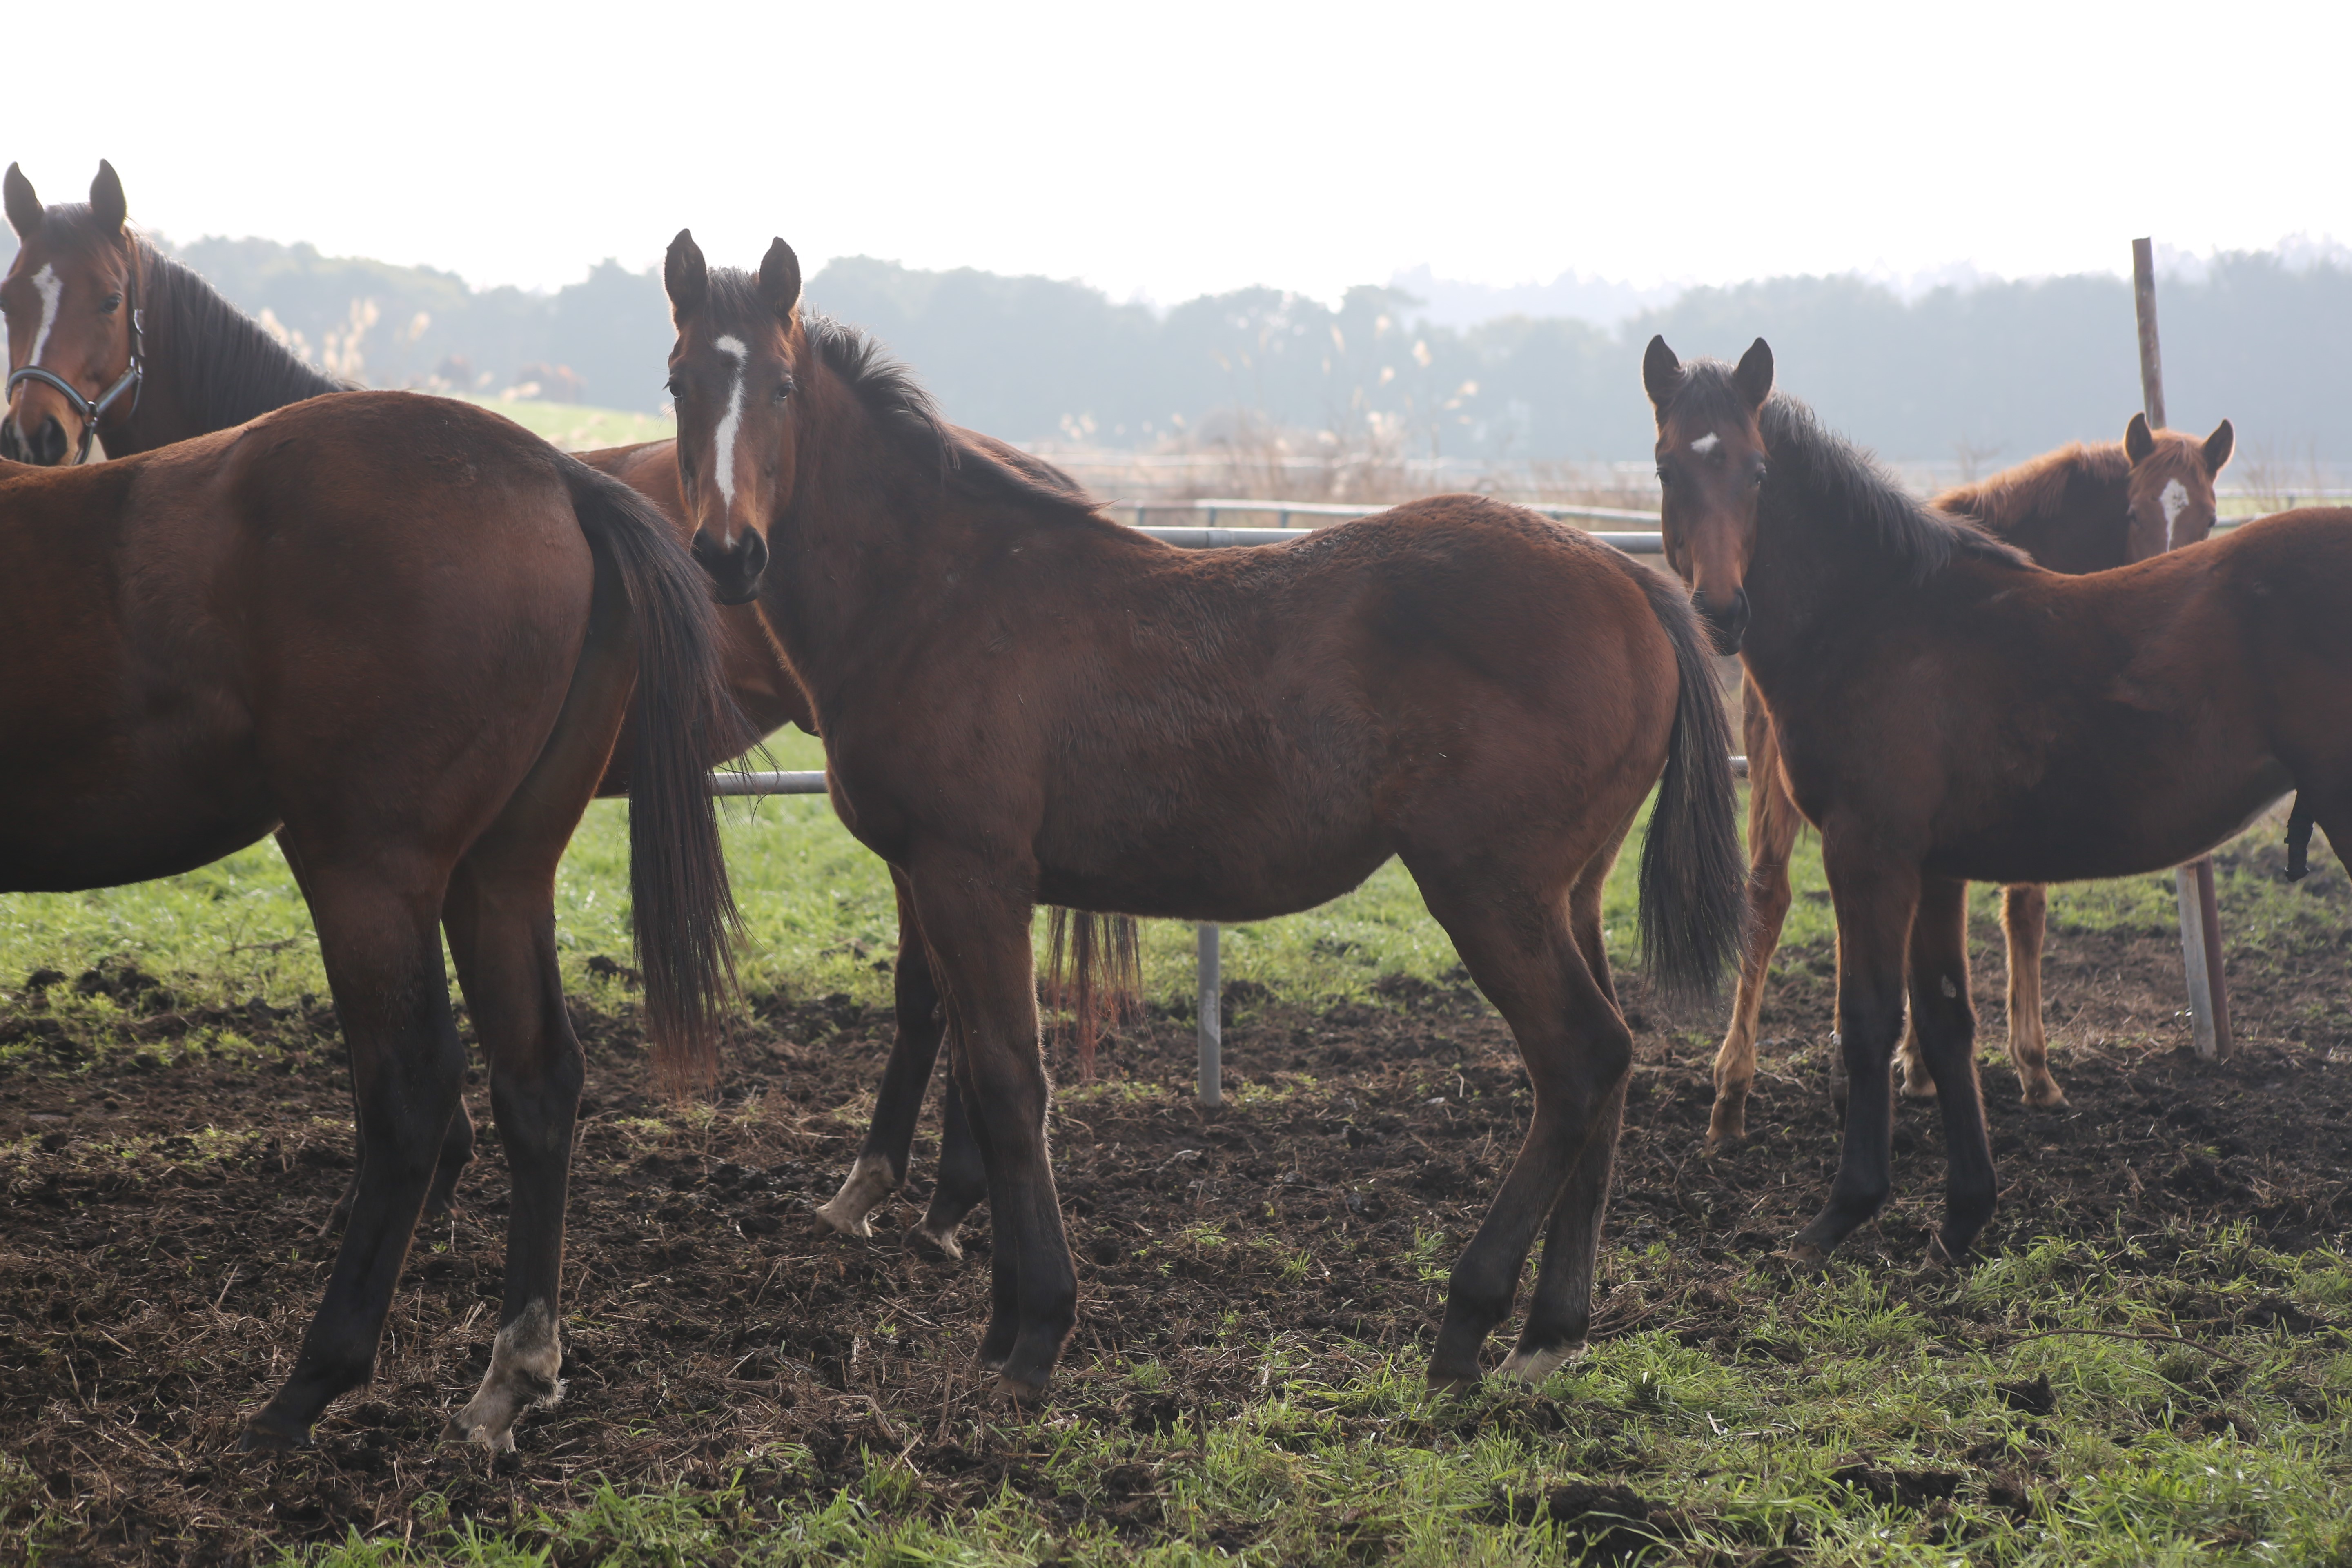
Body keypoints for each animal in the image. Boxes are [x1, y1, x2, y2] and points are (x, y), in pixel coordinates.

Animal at [0, 390, 738, 1448]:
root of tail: (556, 473)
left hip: (365, 869)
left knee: (410, 1089)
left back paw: (309, 1384)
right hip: (500, 876)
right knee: (537, 1079)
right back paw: (513, 1367)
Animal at [658, 232, 1750, 1401]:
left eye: (779, 387)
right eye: (678, 383)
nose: (727, 555)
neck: (934, 593)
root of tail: (1632, 584)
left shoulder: (971, 877)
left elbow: (1011, 1084)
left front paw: (1035, 1332)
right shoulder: (934, 880)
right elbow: (979, 1078)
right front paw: (999, 1319)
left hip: (1486, 889)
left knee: (1579, 1060)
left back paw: (1467, 1320)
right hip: (1568, 892)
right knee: (1615, 1064)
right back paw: (1552, 1328)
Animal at [1712, 411, 2239, 1147]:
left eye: (2212, 517)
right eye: (2133, 512)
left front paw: (1920, 1063)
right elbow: (2025, 912)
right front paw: (2033, 1069)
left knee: (1777, 899)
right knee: (1770, 899)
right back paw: (1736, 1086)